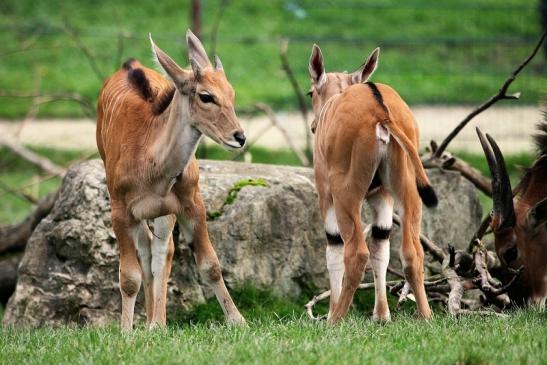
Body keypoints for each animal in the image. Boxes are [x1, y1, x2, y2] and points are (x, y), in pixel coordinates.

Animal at [308, 44, 440, 322]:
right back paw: (426, 316)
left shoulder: (326, 195)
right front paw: (381, 315)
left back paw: (336, 319)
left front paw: (332, 312)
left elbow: (334, 248)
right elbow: (381, 248)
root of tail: (381, 111)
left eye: (311, 92)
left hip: (346, 195)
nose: (314, 126)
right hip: (408, 192)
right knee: (412, 252)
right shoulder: (382, 196)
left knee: (356, 253)